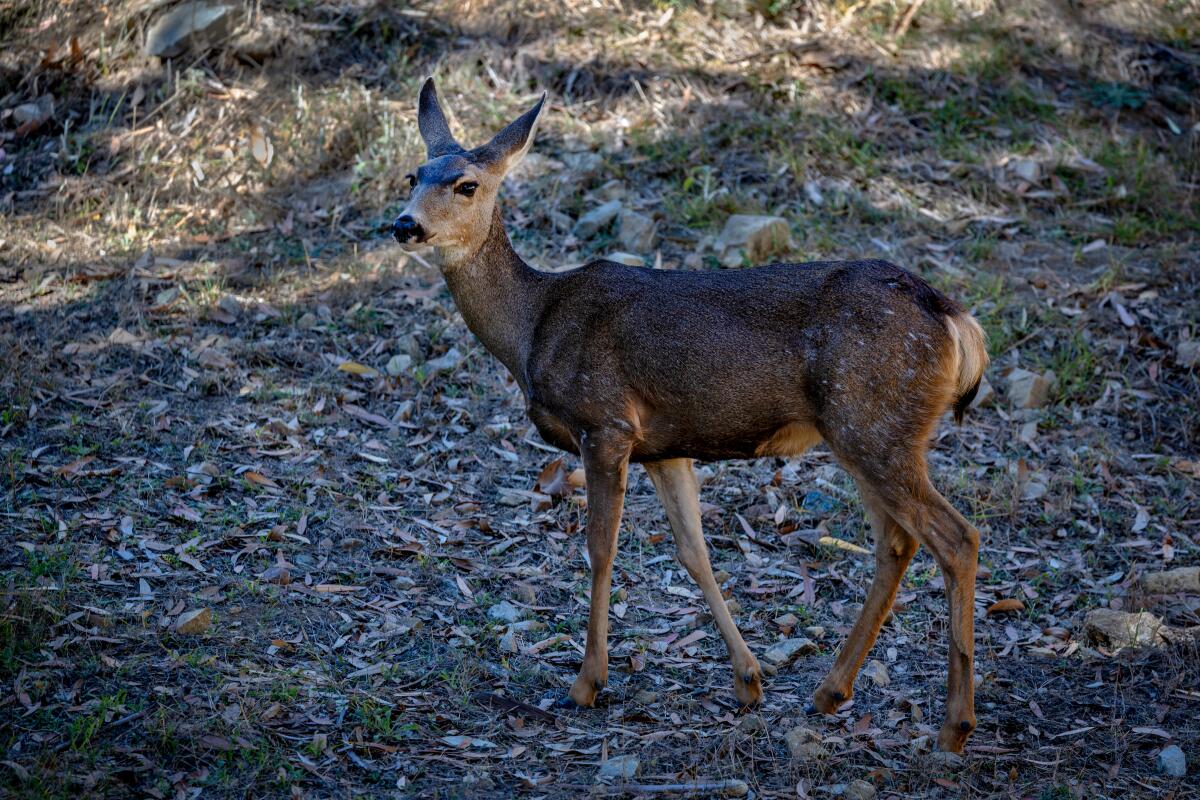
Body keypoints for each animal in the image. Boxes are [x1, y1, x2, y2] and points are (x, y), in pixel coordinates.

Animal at [391, 78, 989, 753]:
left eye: (467, 184)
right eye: (413, 174)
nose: (404, 224)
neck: (532, 327)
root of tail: (955, 318)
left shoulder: (605, 422)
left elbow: (601, 548)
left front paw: (587, 682)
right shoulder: (664, 445)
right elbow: (693, 551)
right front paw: (749, 680)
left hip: (872, 424)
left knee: (956, 537)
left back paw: (953, 725)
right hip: (869, 432)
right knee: (898, 540)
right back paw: (830, 692)